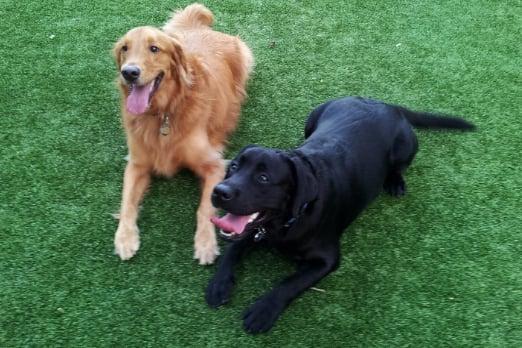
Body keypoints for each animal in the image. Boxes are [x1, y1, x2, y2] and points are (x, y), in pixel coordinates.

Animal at [112, 2, 254, 266]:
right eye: (125, 48)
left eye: (154, 48)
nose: (129, 72)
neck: (163, 114)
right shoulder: (136, 164)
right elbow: (127, 202)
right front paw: (124, 238)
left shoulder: (215, 165)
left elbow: (205, 208)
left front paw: (205, 244)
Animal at [205, 96, 474, 334]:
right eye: (234, 167)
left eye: (263, 177)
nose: (219, 191)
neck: (288, 222)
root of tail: (385, 104)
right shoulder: (255, 232)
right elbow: (233, 248)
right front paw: (219, 283)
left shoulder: (328, 259)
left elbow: (291, 283)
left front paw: (264, 309)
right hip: (313, 116)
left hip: (406, 146)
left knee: (399, 167)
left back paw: (395, 182)